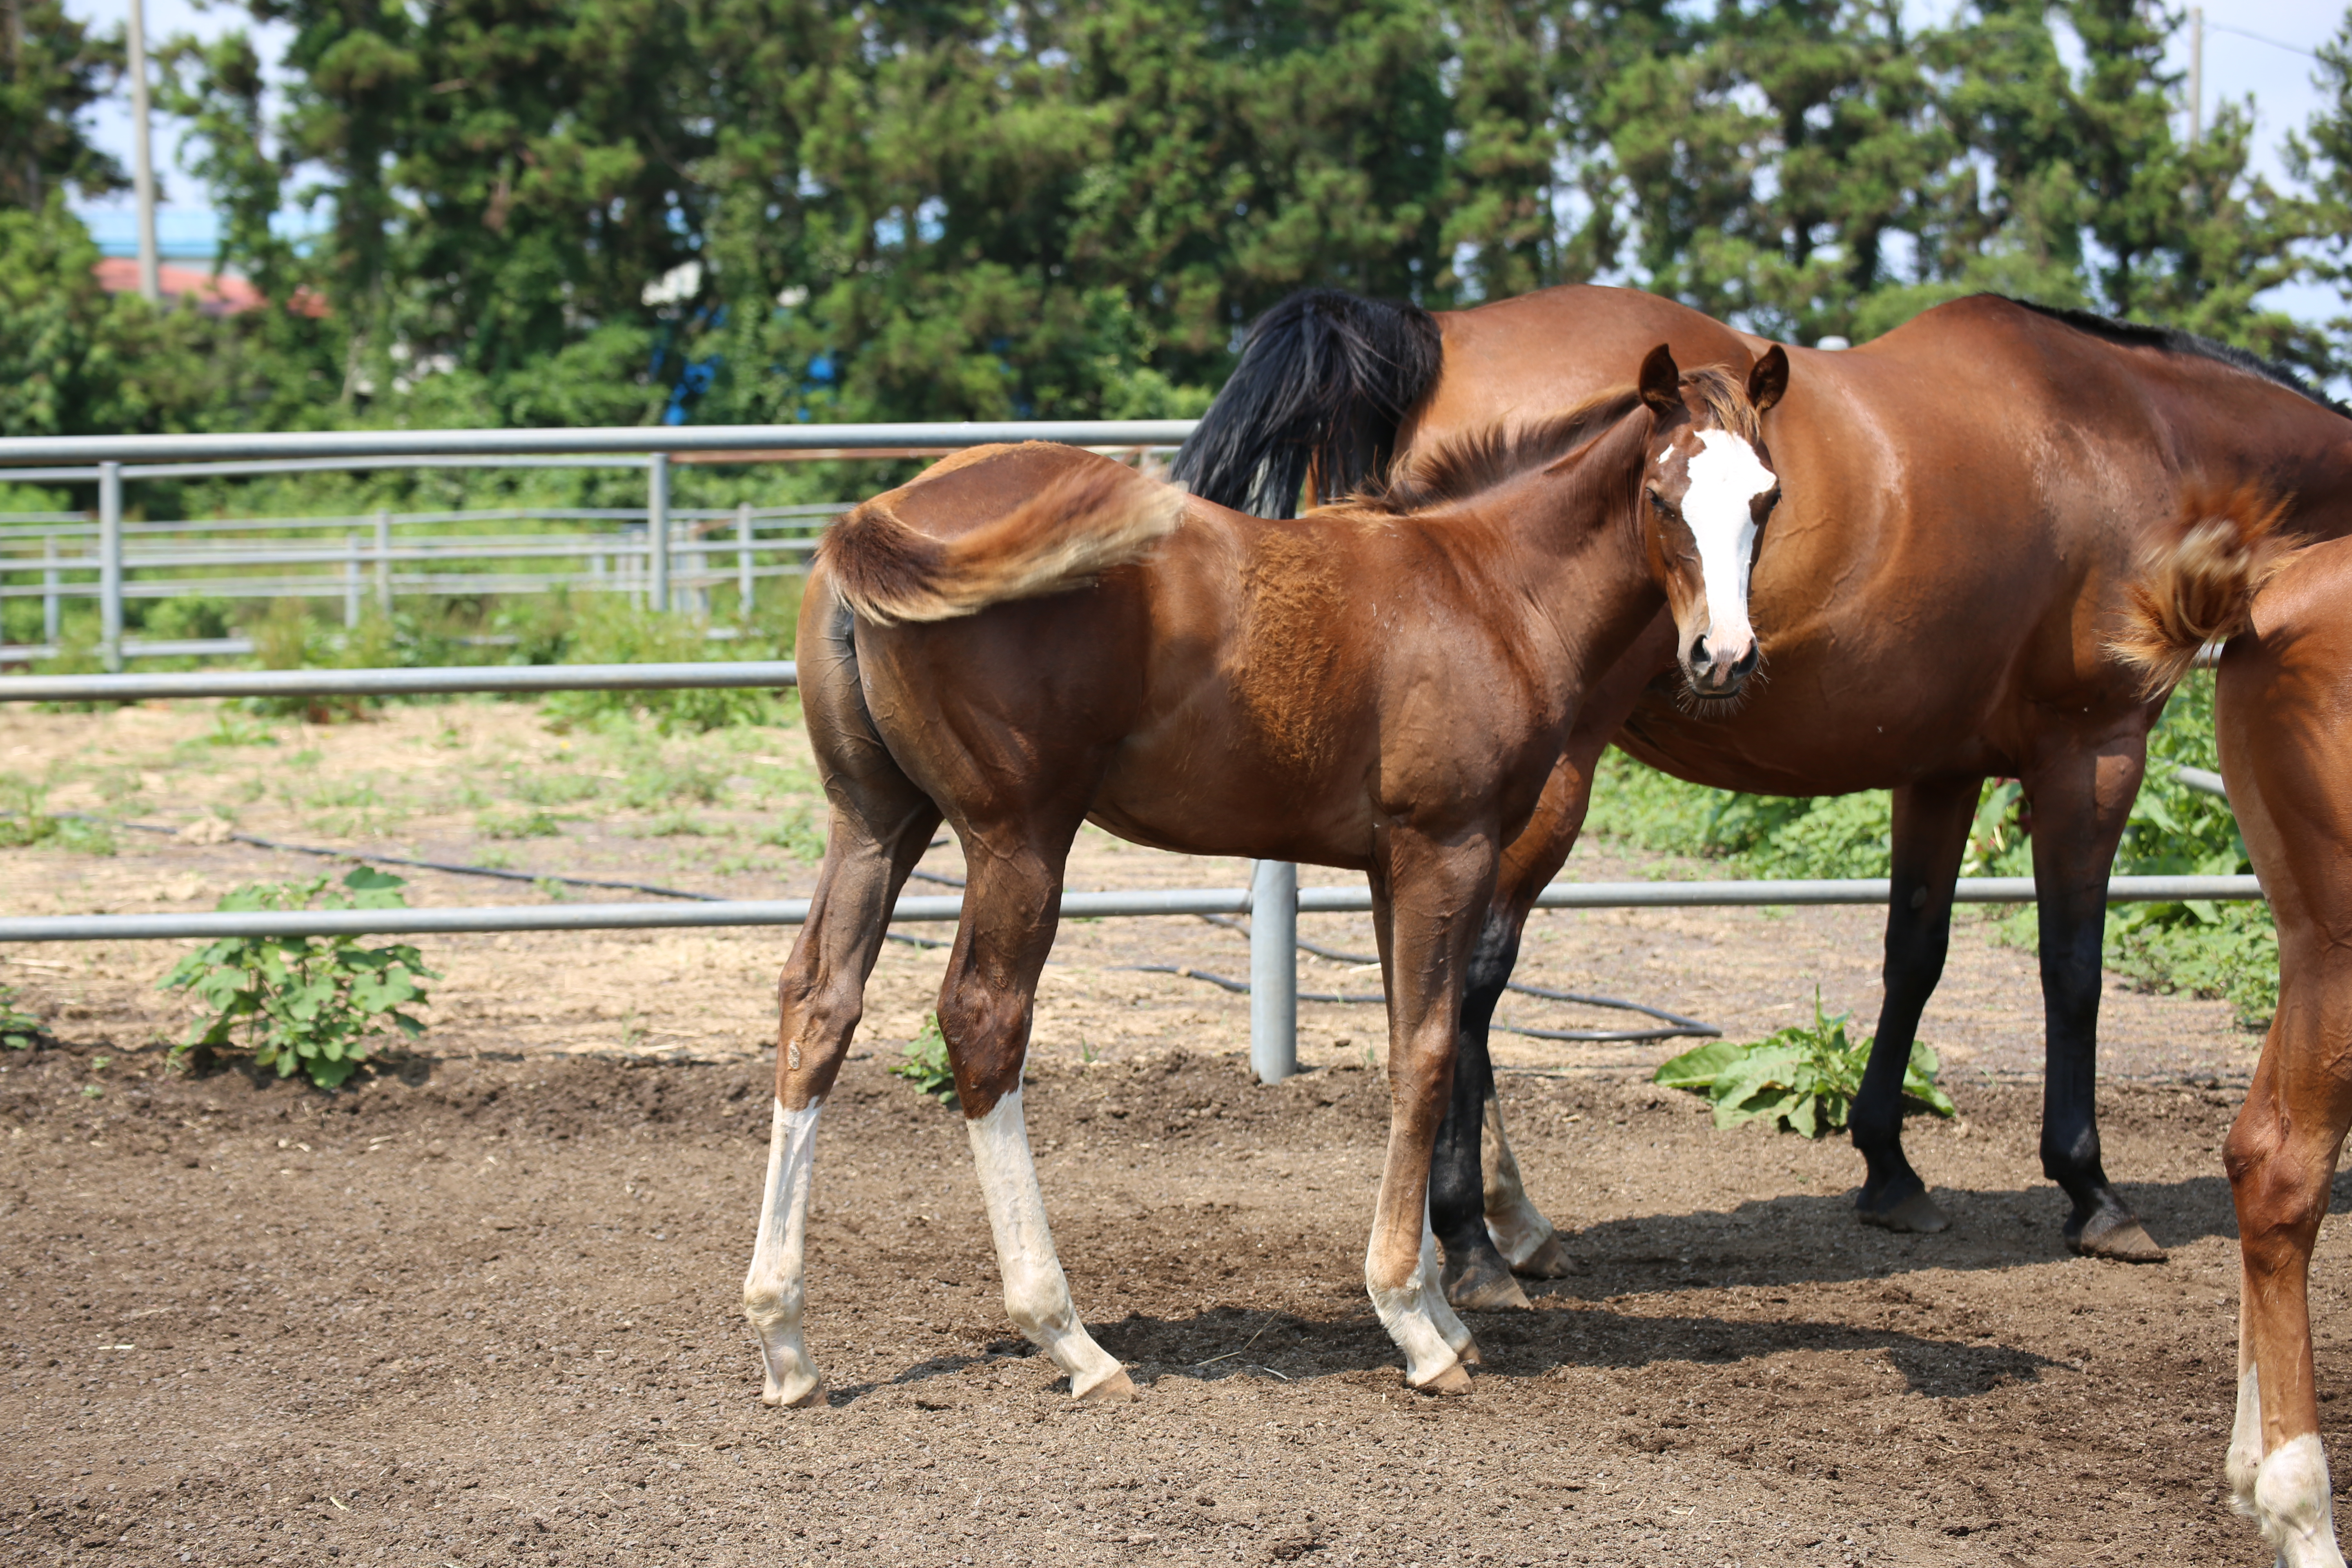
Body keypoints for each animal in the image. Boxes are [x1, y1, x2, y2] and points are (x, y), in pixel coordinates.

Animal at [743, 345, 1787, 1410]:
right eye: (1659, 496)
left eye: (1765, 498)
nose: (1722, 657)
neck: (1486, 587)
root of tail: (877, 514)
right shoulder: (1445, 847)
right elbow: (1427, 1054)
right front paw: (1416, 1324)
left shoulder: (1390, 868)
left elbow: (1416, 1042)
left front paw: (1442, 1307)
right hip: (1018, 837)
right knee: (983, 1020)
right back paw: (1069, 1338)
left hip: (875, 823)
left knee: (818, 1002)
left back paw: (786, 1340)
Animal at [1176, 288, 2352, 1297]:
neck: (2138, 431)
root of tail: (1427, 333)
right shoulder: (2094, 750)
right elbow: (2072, 969)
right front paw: (2092, 1190)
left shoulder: (1941, 766)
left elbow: (1915, 955)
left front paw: (1889, 1167)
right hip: (1534, 791)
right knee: (1464, 987)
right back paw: (1476, 1236)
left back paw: (1506, 1227)